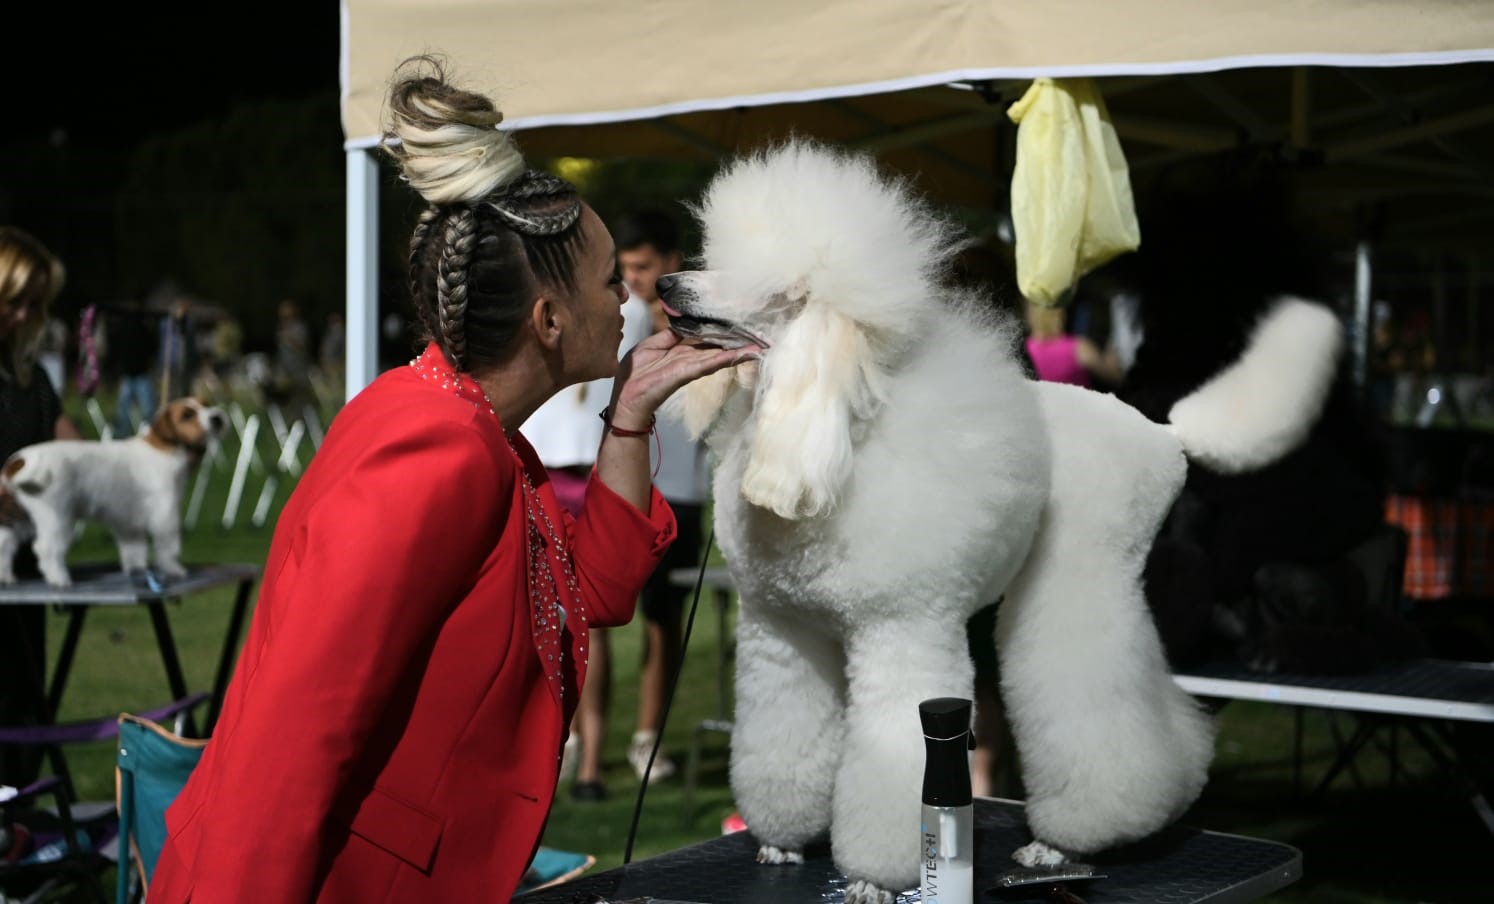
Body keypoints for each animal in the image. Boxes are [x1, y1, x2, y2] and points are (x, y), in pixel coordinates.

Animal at [0, 397, 227, 585]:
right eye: (187, 415)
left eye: (206, 404)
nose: (216, 417)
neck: (164, 448)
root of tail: (18, 461)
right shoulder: (165, 513)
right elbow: (168, 546)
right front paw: (173, 569)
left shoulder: (130, 524)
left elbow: (134, 550)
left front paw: (137, 570)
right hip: (55, 518)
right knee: (45, 547)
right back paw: (59, 579)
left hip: (17, 516)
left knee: (4, 545)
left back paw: (6, 578)